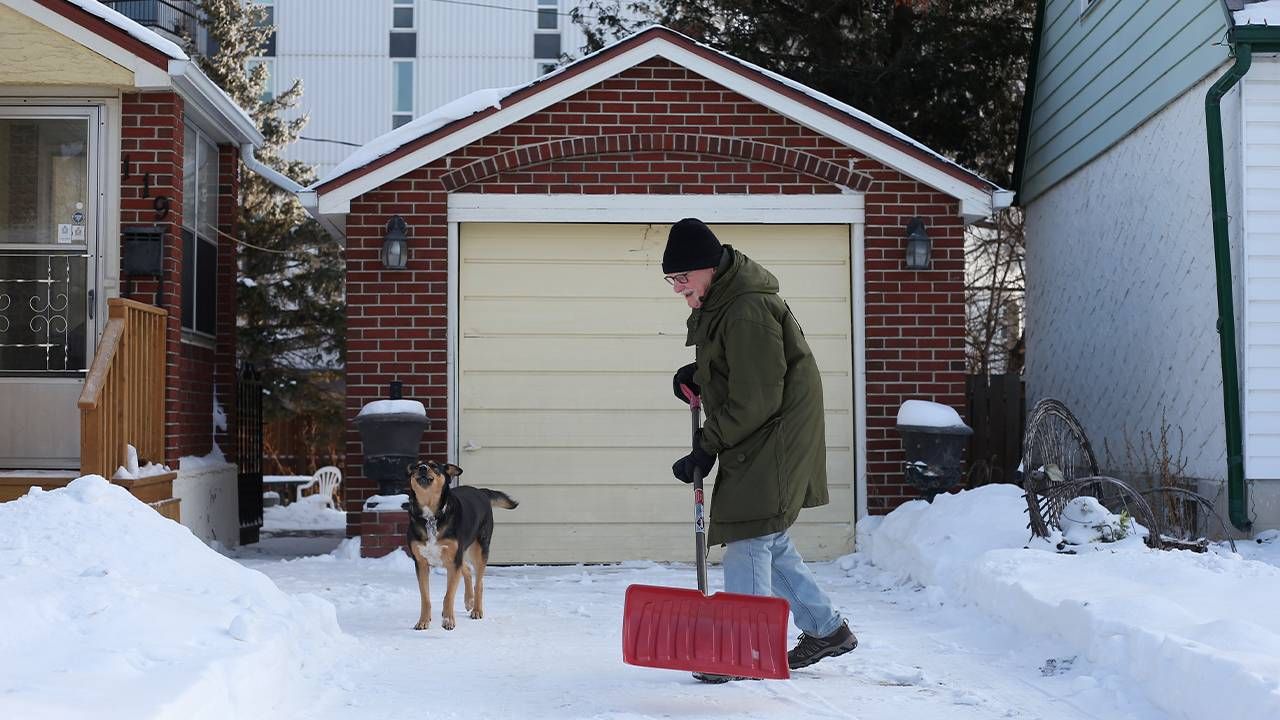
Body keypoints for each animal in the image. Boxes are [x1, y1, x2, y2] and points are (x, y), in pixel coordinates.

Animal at [404, 458, 514, 627]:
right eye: (416, 466)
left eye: (434, 466)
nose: (422, 468)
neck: (431, 516)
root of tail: (481, 491)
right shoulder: (421, 563)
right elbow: (425, 598)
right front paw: (423, 621)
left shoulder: (453, 560)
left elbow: (449, 595)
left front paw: (448, 620)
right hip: (459, 554)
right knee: (467, 571)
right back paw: (469, 600)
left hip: (478, 550)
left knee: (479, 583)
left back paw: (476, 609)